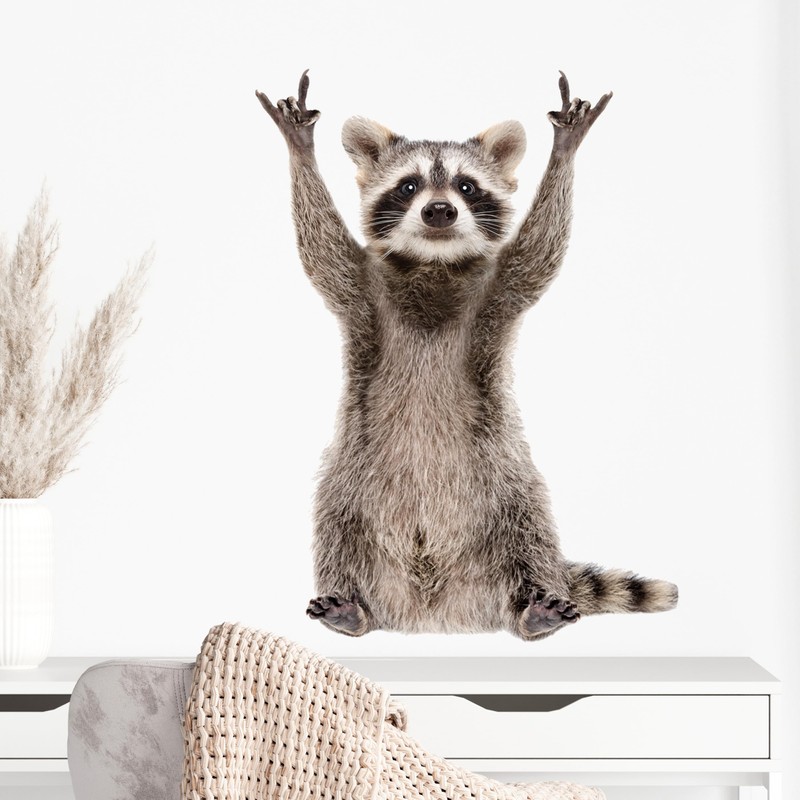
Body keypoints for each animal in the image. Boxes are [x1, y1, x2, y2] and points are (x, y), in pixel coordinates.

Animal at [256, 71, 678, 639]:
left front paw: (564, 151)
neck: (434, 264)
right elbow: (322, 250)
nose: (439, 210)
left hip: (506, 478)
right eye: (409, 185)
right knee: (335, 521)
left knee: (532, 527)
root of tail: (435, 612)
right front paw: (301, 149)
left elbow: (540, 252)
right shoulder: (361, 289)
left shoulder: (499, 290)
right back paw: (351, 606)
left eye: (466, 186)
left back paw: (533, 609)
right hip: (351, 473)